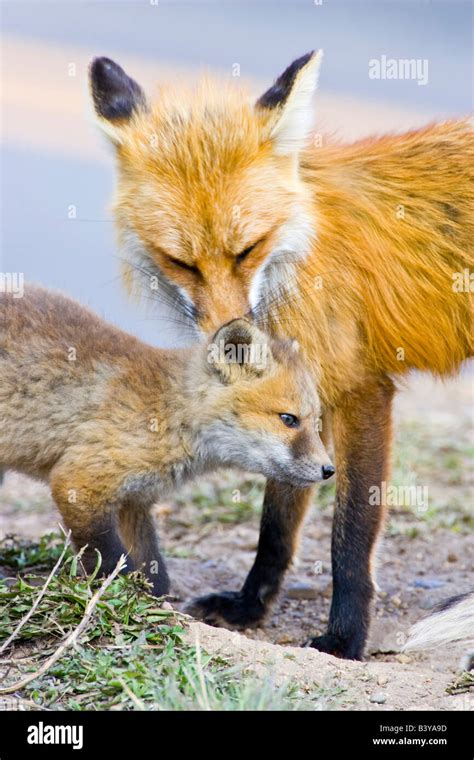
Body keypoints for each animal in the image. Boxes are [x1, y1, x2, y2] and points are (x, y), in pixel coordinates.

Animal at [0, 284, 334, 592]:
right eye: (288, 419)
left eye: (316, 421)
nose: (329, 470)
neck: (167, 415)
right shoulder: (78, 482)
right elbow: (110, 560)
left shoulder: (134, 501)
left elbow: (155, 570)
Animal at [90, 53, 474, 660]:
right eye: (181, 262)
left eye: (246, 248)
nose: (230, 334)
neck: (296, 257)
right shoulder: (296, 401)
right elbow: (276, 523)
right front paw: (251, 607)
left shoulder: (362, 391)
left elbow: (351, 533)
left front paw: (345, 638)